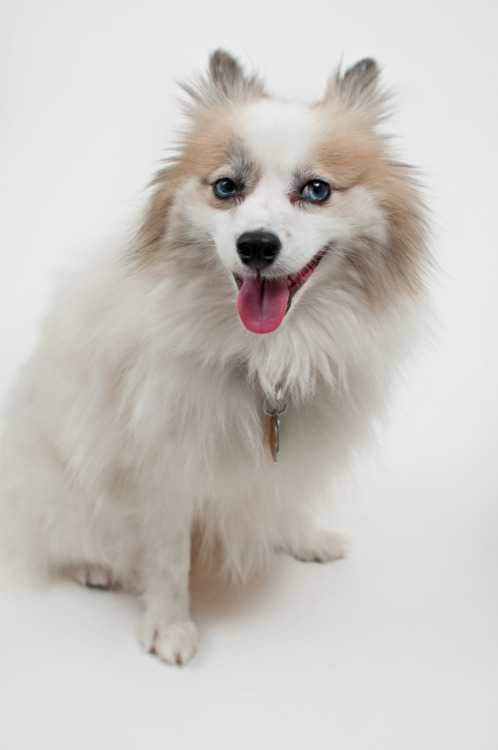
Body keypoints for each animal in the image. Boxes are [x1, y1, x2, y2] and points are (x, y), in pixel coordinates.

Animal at [0, 50, 428, 668]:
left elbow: (282, 494)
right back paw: (93, 566)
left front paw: (301, 536)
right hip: (57, 495)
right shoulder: (160, 472)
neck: (268, 357)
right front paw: (170, 625)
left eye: (317, 190)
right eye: (226, 187)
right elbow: (168, 558)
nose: (256, 245)